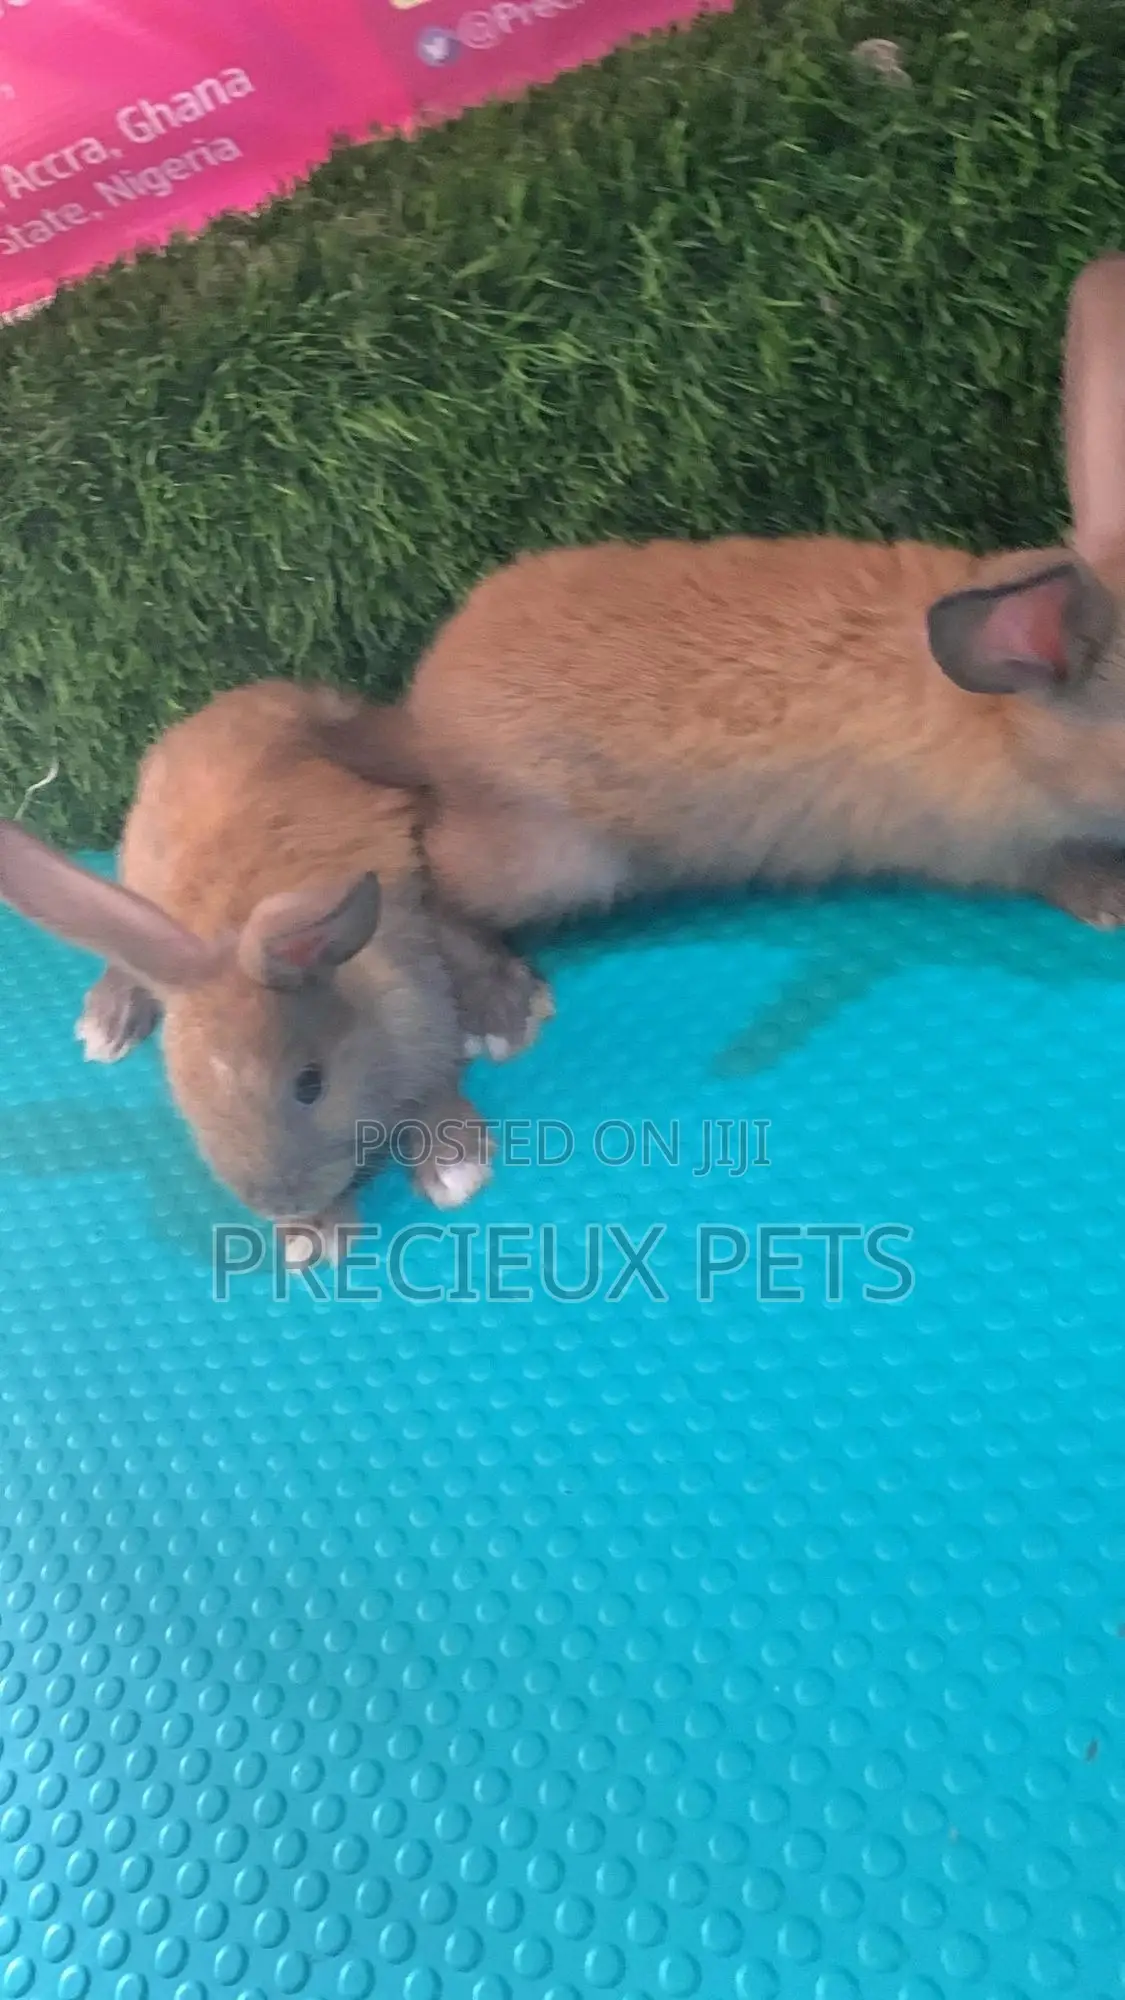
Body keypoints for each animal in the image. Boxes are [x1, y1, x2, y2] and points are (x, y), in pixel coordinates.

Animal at [0, 680, 553, 1258]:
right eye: (186, 1093)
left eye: (310, 1084)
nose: (280, 1206)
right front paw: (313, 1239)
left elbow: (437, 1087)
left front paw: (455, 1166)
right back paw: (108, 1023)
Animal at [310, 252, 1125, 940]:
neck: (1007, 724)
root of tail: (424, 728)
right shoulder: (997, 850)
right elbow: (1056, 875)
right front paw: (1111, 903)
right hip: (549, 867)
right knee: (436, 887)